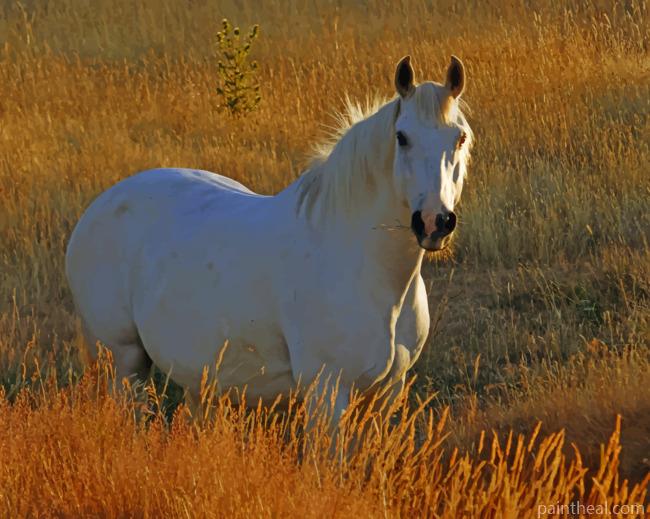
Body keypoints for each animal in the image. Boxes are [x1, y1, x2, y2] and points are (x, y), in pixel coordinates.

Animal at [65, 56, 473, 424]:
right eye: (402, 137)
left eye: (460, 137)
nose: (434, 222)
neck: (365, 269)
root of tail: (98, 208)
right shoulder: (326, 391)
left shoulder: (387, 393)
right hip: (124, 362)